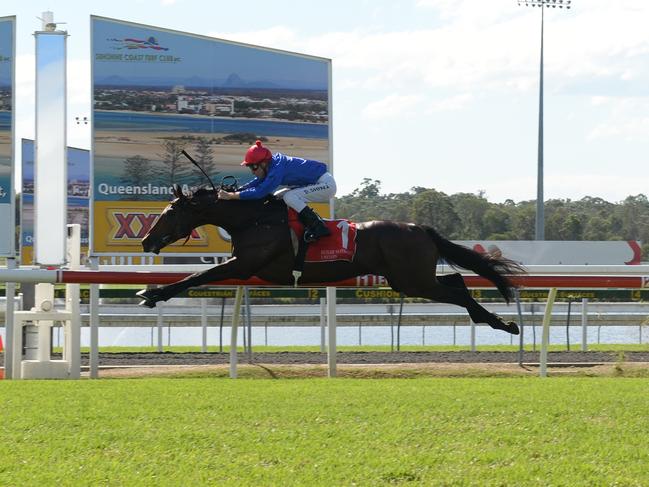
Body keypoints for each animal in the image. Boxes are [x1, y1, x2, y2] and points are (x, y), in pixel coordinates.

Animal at [139, 184, 524, 336]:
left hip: (413, 279)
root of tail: (420, 228)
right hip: (410, 278)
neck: (254, 218)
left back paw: (503, 324)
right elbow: (196, 277)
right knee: (457, 282)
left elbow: (194, 278)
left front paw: (151, 294)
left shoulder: (244, 265)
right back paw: (496, 321)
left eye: (170, 213)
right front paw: (152, 292)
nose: (146, 240)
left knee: (457, 289)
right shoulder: (244, 267)